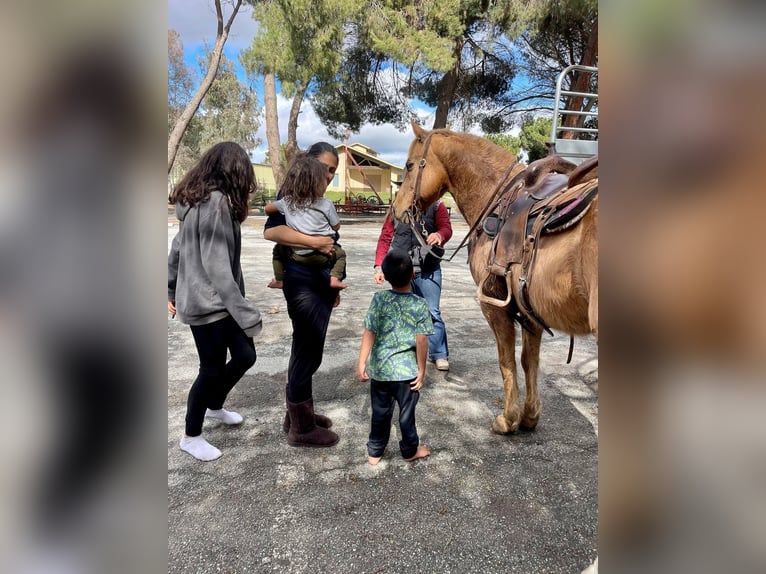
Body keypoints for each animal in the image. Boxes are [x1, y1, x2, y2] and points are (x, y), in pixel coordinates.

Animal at [396, 122, 600, 436]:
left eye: (409, 165)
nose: (395, 210)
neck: (496, 200)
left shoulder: (494, 306)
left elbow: (506, 361)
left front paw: (508, 419)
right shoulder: (529, 312)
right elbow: (529, 361)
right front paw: (529, 417)